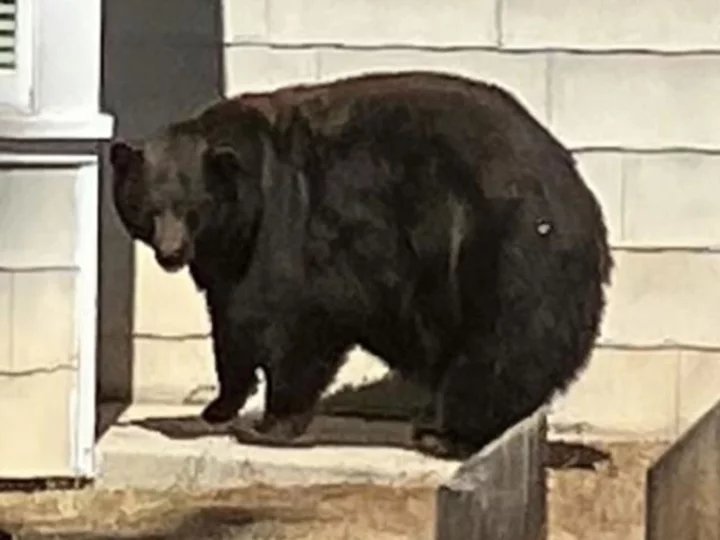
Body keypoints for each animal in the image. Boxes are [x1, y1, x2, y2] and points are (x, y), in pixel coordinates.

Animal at [109, 70, 612, 460]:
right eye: (148, 207)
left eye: (193, 207)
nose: (171, 253)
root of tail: (579, 196)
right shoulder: (229, 259)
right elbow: (232, 323)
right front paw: (218, 406)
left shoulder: (298, 226)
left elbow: (298, 321)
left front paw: (270, 423)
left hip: (500, 250)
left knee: (500, 346)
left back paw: (445, 434)